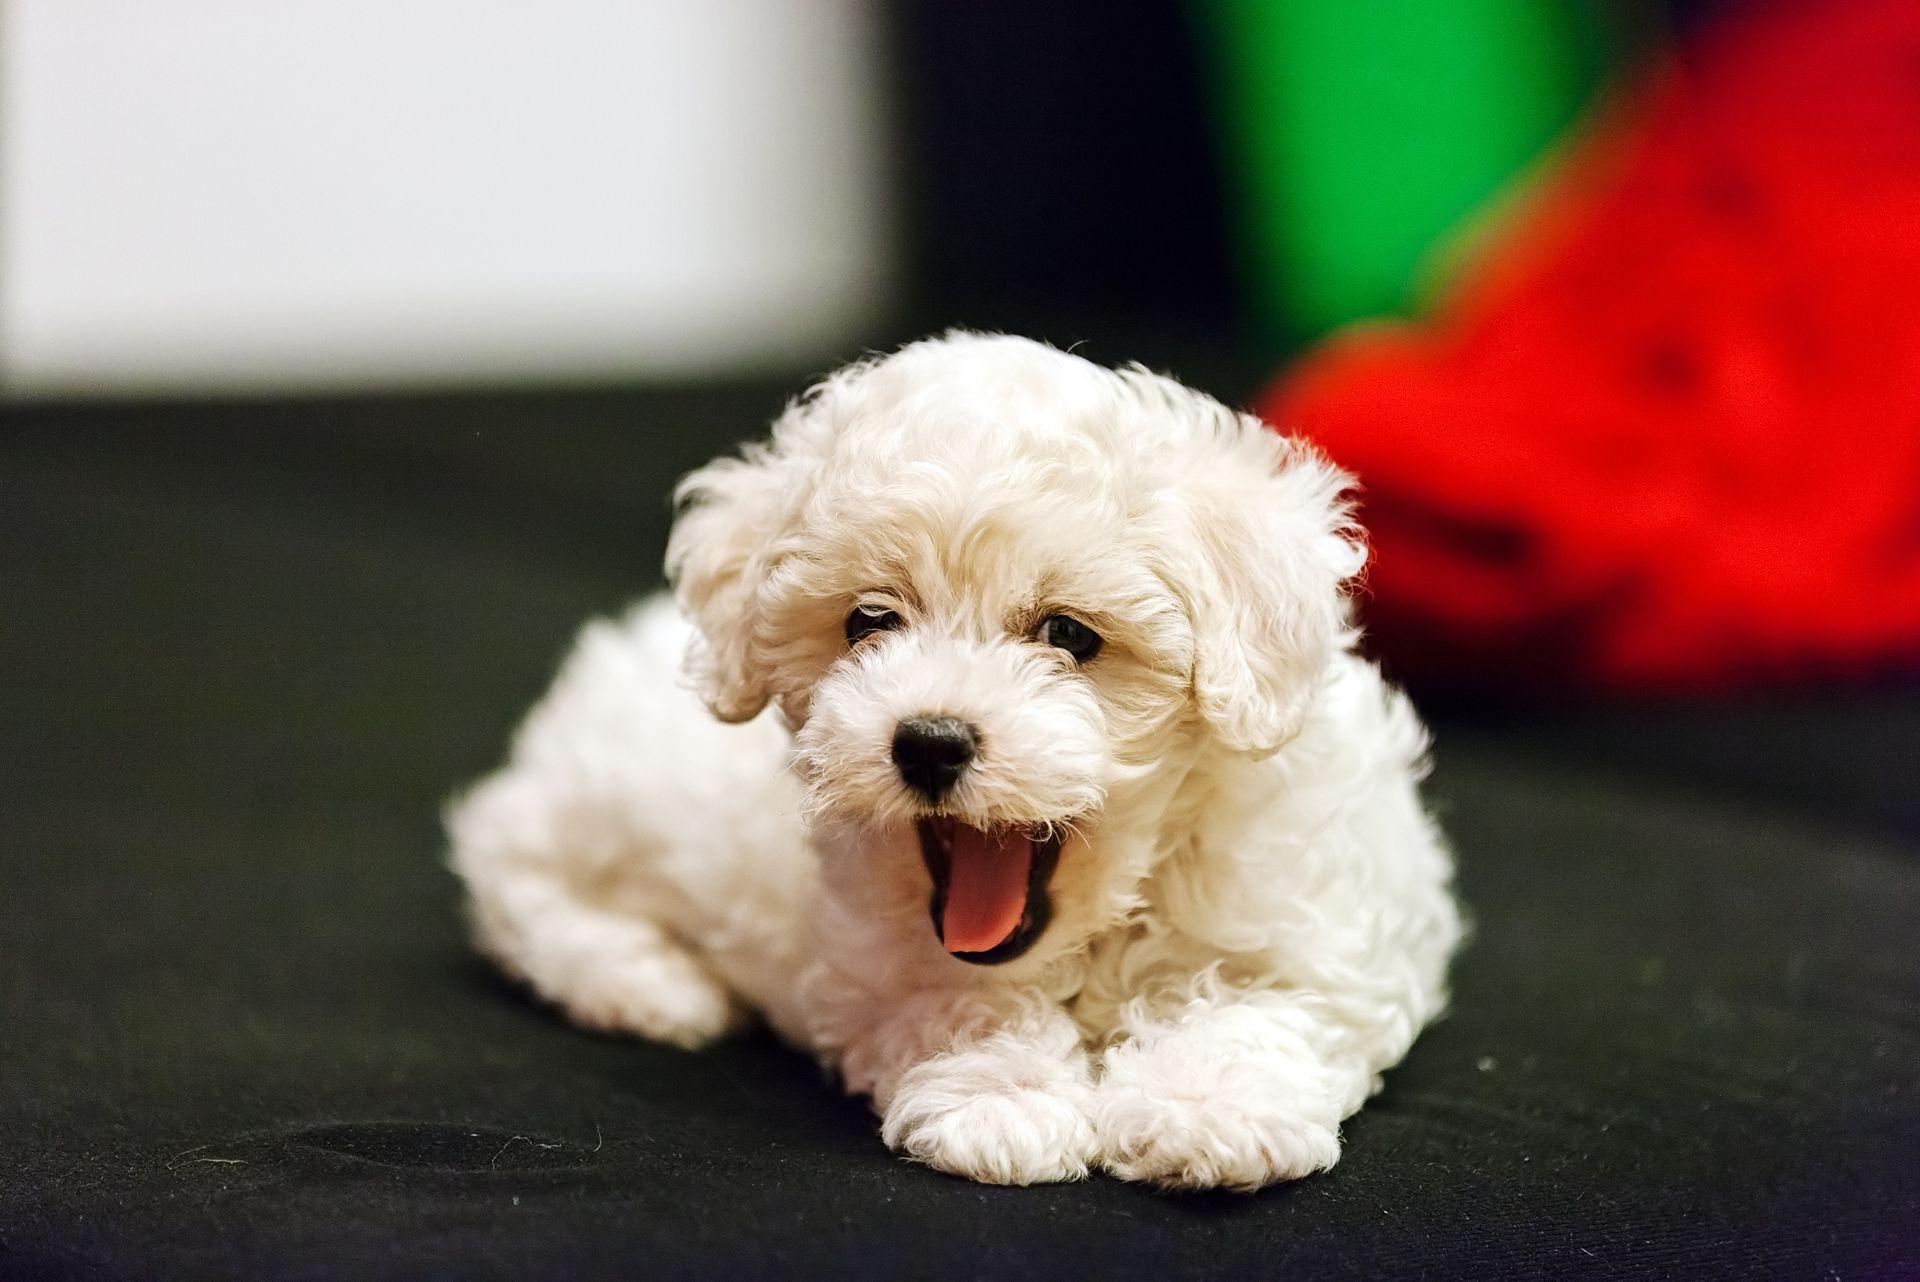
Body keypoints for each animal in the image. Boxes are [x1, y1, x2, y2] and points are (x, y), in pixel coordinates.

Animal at [449, 333, 1459, 1189]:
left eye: (1069, 635)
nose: (929, 741)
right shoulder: (878, 955)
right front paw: (1002, 1099)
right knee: (508, 865)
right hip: (595, 808)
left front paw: (1209, 1104)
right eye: (869, 621)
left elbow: (1258, 1000)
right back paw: (648, 984)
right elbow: (960, 998)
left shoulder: (1324, 926)